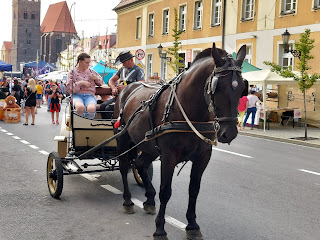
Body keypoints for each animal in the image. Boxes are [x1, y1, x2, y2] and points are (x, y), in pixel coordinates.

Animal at [112, 43, 248, 240]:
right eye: (218, 86)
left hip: (148, 147)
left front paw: (192, 225)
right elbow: (165, 191)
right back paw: (128, 201)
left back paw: (149, 199)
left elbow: (194, 190)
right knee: (124, 166)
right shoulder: (169, 156)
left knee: (140, 164)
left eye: (242, 87)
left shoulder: (203, 157)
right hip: (123, 138)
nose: (228, 133)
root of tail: (127, 89)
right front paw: (160, 228)